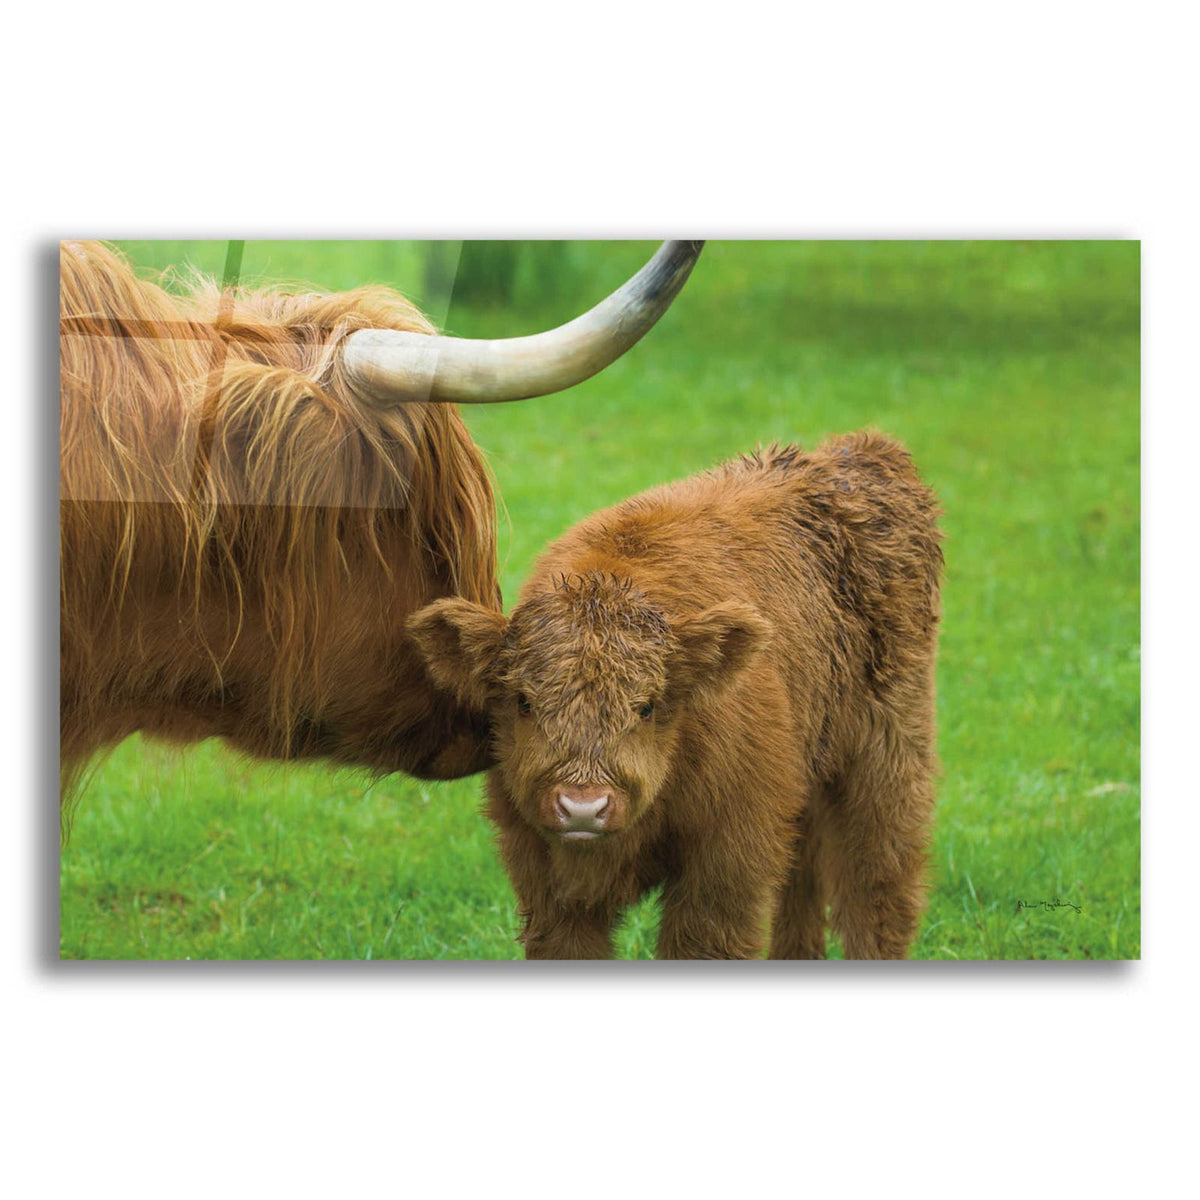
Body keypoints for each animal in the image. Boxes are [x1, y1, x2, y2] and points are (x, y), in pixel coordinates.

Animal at [408, 433, 944, 959]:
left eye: (647, 706)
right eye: (523, 701)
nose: (583, 806)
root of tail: (859, 452)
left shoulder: (727, 863)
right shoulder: (544, 881)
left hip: (888, 761)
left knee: (878, 889)